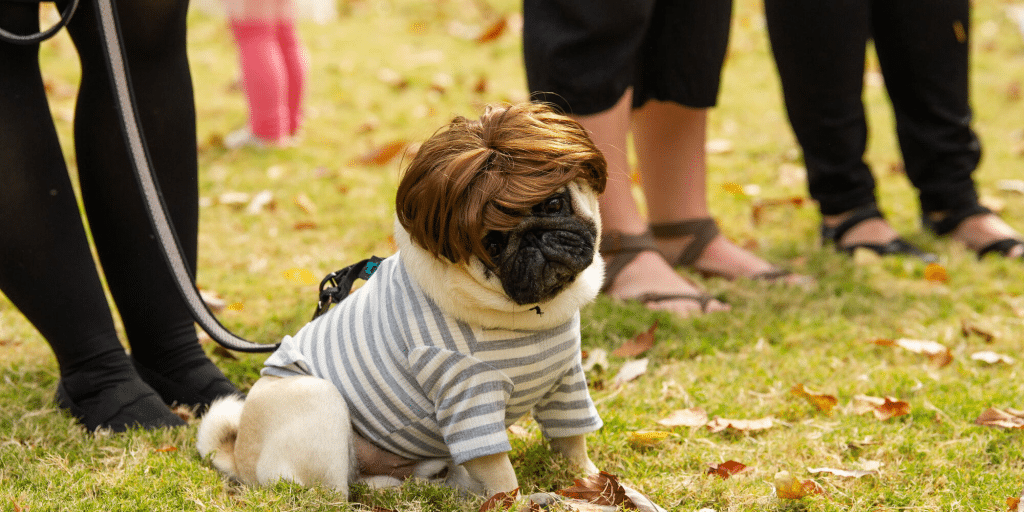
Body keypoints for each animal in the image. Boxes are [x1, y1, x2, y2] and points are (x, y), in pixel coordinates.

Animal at [196, 102, 610, 499]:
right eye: (491, 245)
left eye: (553, 205)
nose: (533, 238)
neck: (532, 312)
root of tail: (240, 458)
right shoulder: (468, 399)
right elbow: (500, 472)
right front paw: (515, 502)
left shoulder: (567, 380)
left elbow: (572, 437)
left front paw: (589, 480)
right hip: (319, 401)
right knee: (332, 491)